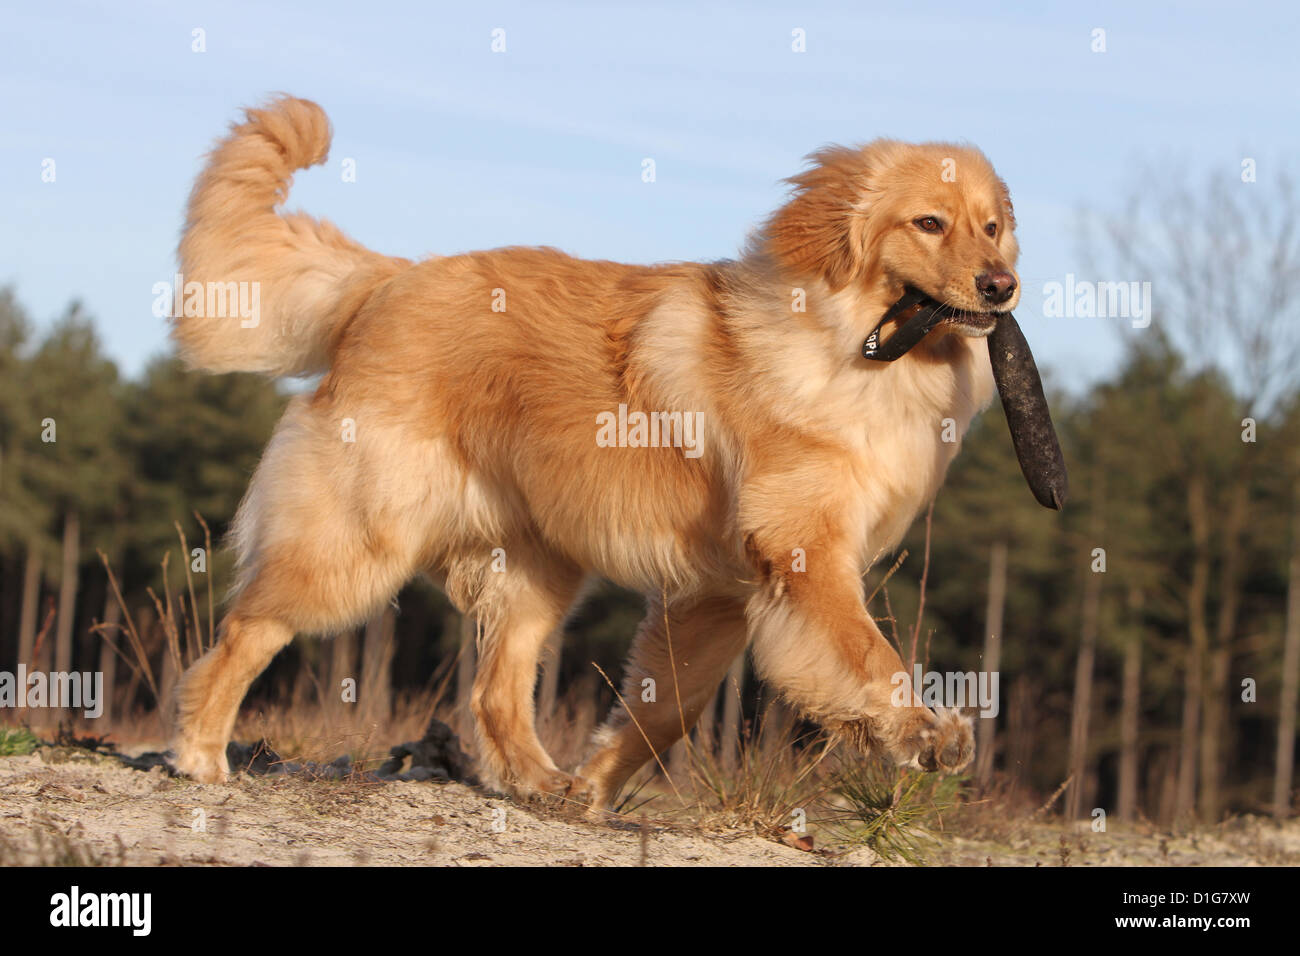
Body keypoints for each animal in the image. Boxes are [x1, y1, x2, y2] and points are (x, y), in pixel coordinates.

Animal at [170, 95, 1024, 806]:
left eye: (991, 226)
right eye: (928, 223)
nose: (1002, 285)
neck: (855, 349)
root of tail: (387, 280)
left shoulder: (715, 596)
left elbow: (668, 711)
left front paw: (595, 786)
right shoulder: (804, 556)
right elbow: (869, 657)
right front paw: (925, 733)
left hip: (538, 572)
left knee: (494, 692)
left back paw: (540, 781)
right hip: (358, 542)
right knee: (245, 632)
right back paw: (201, 754)